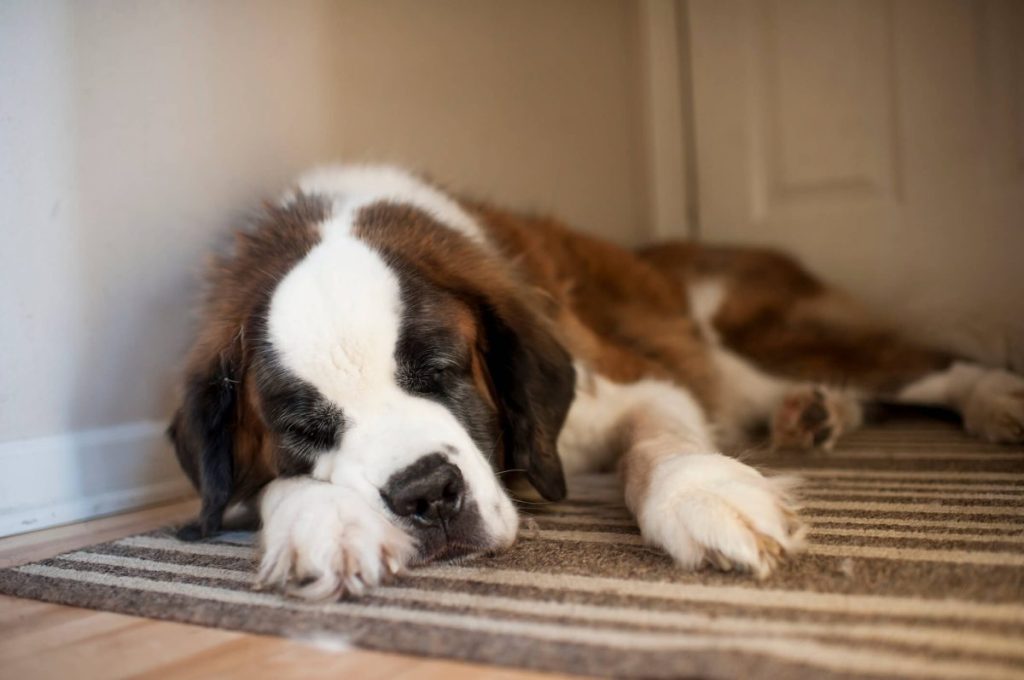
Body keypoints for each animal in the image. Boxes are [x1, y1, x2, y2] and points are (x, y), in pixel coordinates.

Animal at [167, 161, 1024, 598]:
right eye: (305, 426)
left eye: (440, 370)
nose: (426, 496)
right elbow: (256, 491)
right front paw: (322, 522)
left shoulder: (636, 382)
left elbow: (659, 443)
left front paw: (703, 493)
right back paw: (810, 416)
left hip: (766, 333)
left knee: (932, 365)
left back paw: (993, 399)